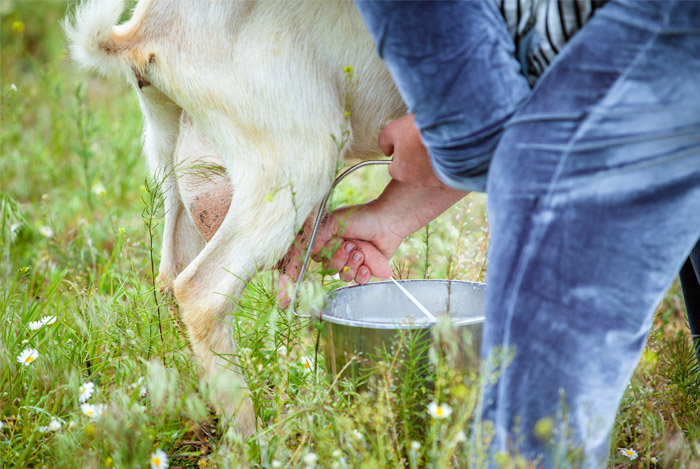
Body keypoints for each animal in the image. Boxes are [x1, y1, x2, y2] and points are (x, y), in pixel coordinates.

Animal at [67, 0, 404, 436]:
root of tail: (144, 30)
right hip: (297, 155)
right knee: (200, 292)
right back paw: (254, 438)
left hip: (177, 168)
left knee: (169, 279)